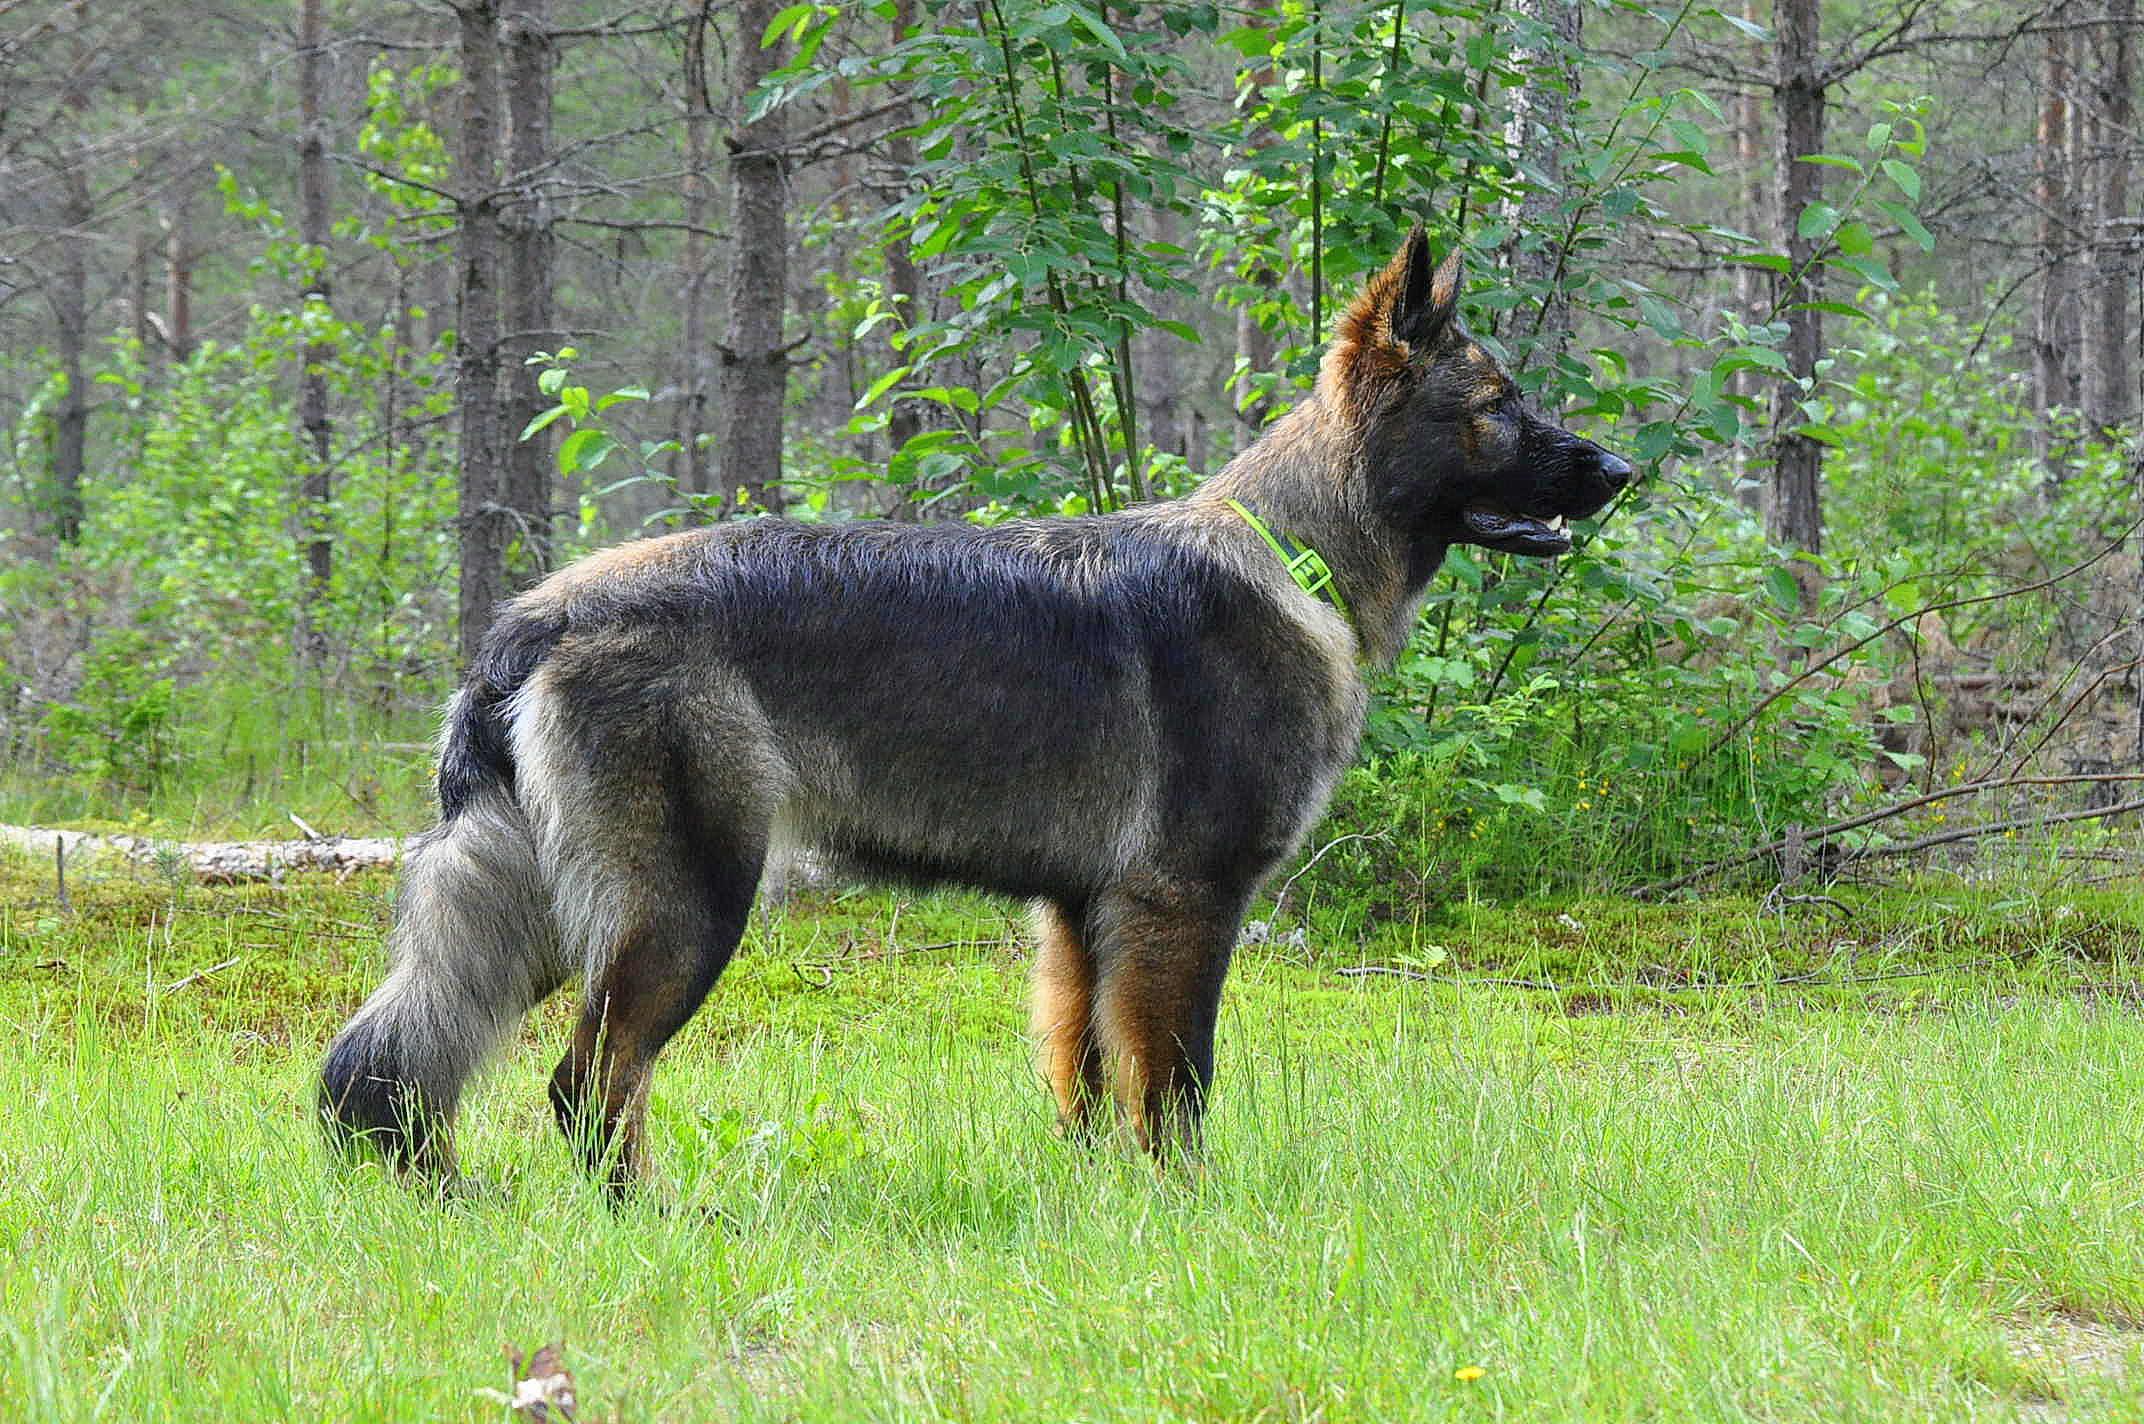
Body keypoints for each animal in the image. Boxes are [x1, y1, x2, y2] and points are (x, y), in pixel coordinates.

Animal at [319, 225, 1633, 1192]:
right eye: (1499, 405)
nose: (1622, 471)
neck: (1291, 552)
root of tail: (534, 621)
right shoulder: (1184, 905)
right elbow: (1179, 1085)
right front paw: (1188, 1210)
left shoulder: (1083, 922)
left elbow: (1088, 1079)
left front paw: (1099, 1204)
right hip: (684, 908)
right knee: (587, 1084)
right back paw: (659, 1221)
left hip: (556, 909)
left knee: (401, 1061)